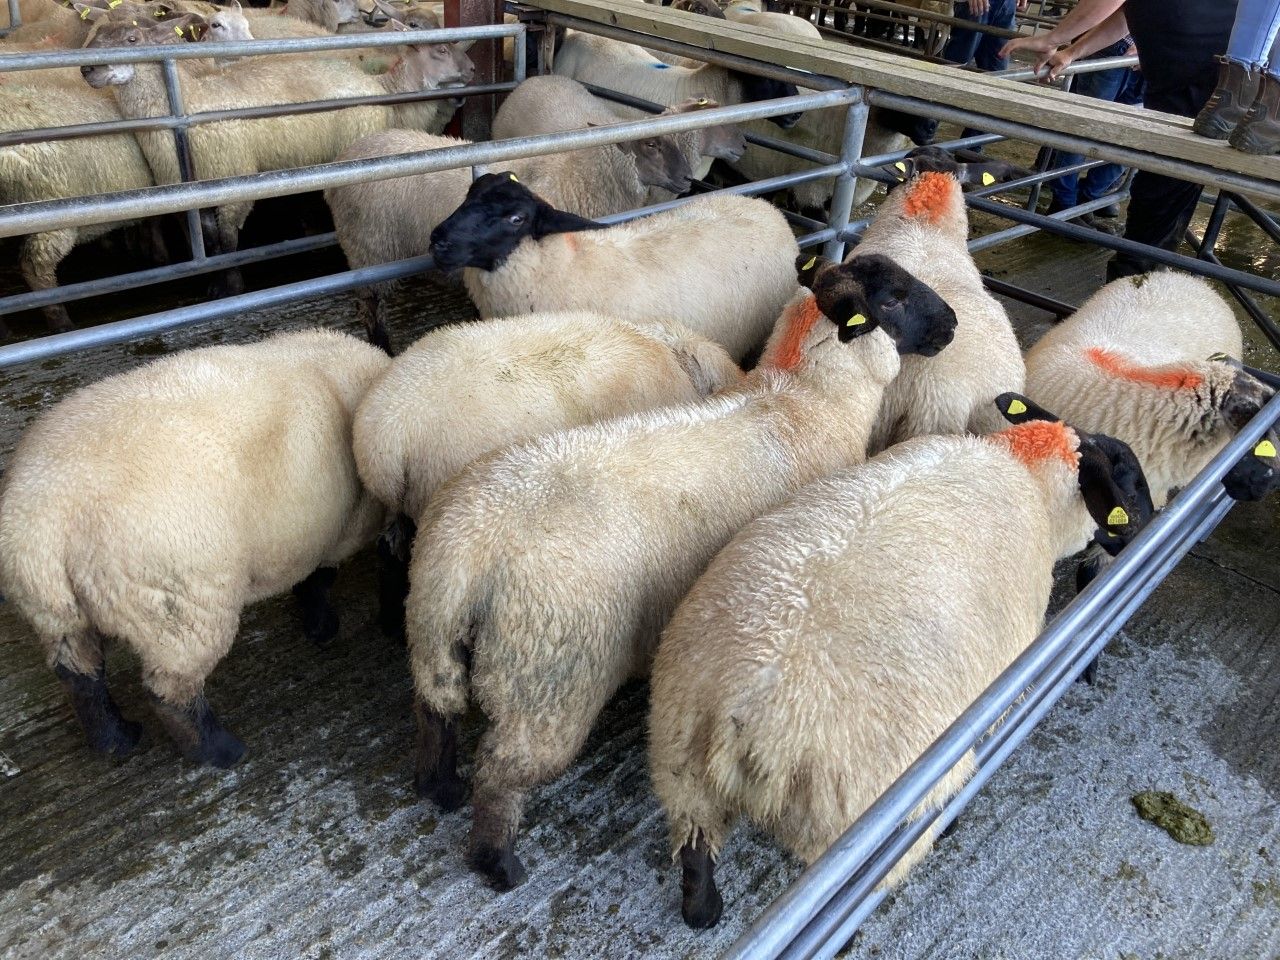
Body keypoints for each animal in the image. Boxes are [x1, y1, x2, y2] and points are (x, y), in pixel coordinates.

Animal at [0, 329, 390, 767]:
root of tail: (40, 525)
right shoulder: (338, 532)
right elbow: (318, 580)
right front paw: (322, 628)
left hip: (53, 612)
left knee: (79, 675)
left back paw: (116, 740)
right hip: (180, 606)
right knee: (168, 691)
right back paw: (219, 750)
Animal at [81, 18, 474, 263]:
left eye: (131, 40)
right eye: (96, 38)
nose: (87, 68)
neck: (187, 103)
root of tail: (372, 87)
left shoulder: (231, 186)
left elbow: (227, 247)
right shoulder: (195, 193)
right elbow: (212, 245)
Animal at [326, 129, 693, 353]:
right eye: (652, 144)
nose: (689, 179)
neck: (584, 176)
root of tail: (349, 153)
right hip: (368, 249)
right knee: (371, 306)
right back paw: (382, 347)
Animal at [405, 252, 958, 890]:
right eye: (892, 298)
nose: (952, 324)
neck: (803, 402)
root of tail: (467, 555)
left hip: (433, 635)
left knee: (435, 711)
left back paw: (440, 788)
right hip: (547, 679)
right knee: (502, 772)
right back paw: (500, 864)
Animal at [649, 391, 1154, 929]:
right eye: (1129, 478)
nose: (1145, 527)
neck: (1025, 472)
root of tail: (744, 717)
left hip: (681, 765)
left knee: (695, 857)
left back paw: (705, 913)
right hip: (855, 835)